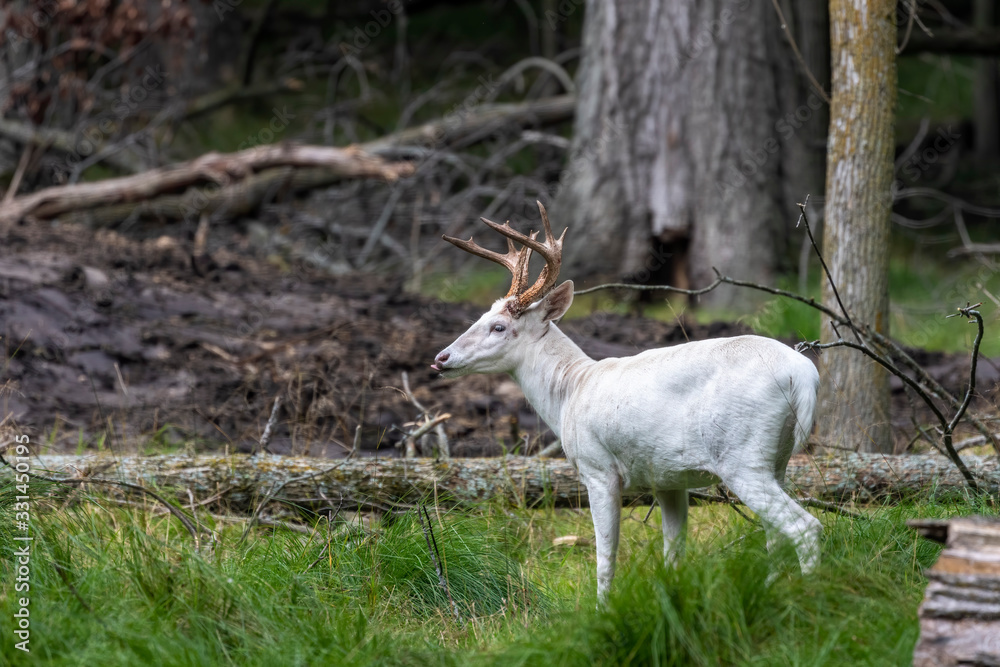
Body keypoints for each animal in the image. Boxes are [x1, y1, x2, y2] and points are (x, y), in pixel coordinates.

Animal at [434, 202, 824, 600]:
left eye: (498, 327)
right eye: (481, 316)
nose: (441, 358)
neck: (571, 390)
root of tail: (804, 374)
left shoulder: (597, 467)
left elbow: (605, 556)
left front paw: (602, 607)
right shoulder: (668, 479)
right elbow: (674, 553)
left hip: (742, 456)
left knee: (805, 527)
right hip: (777, 459)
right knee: (775, 535)